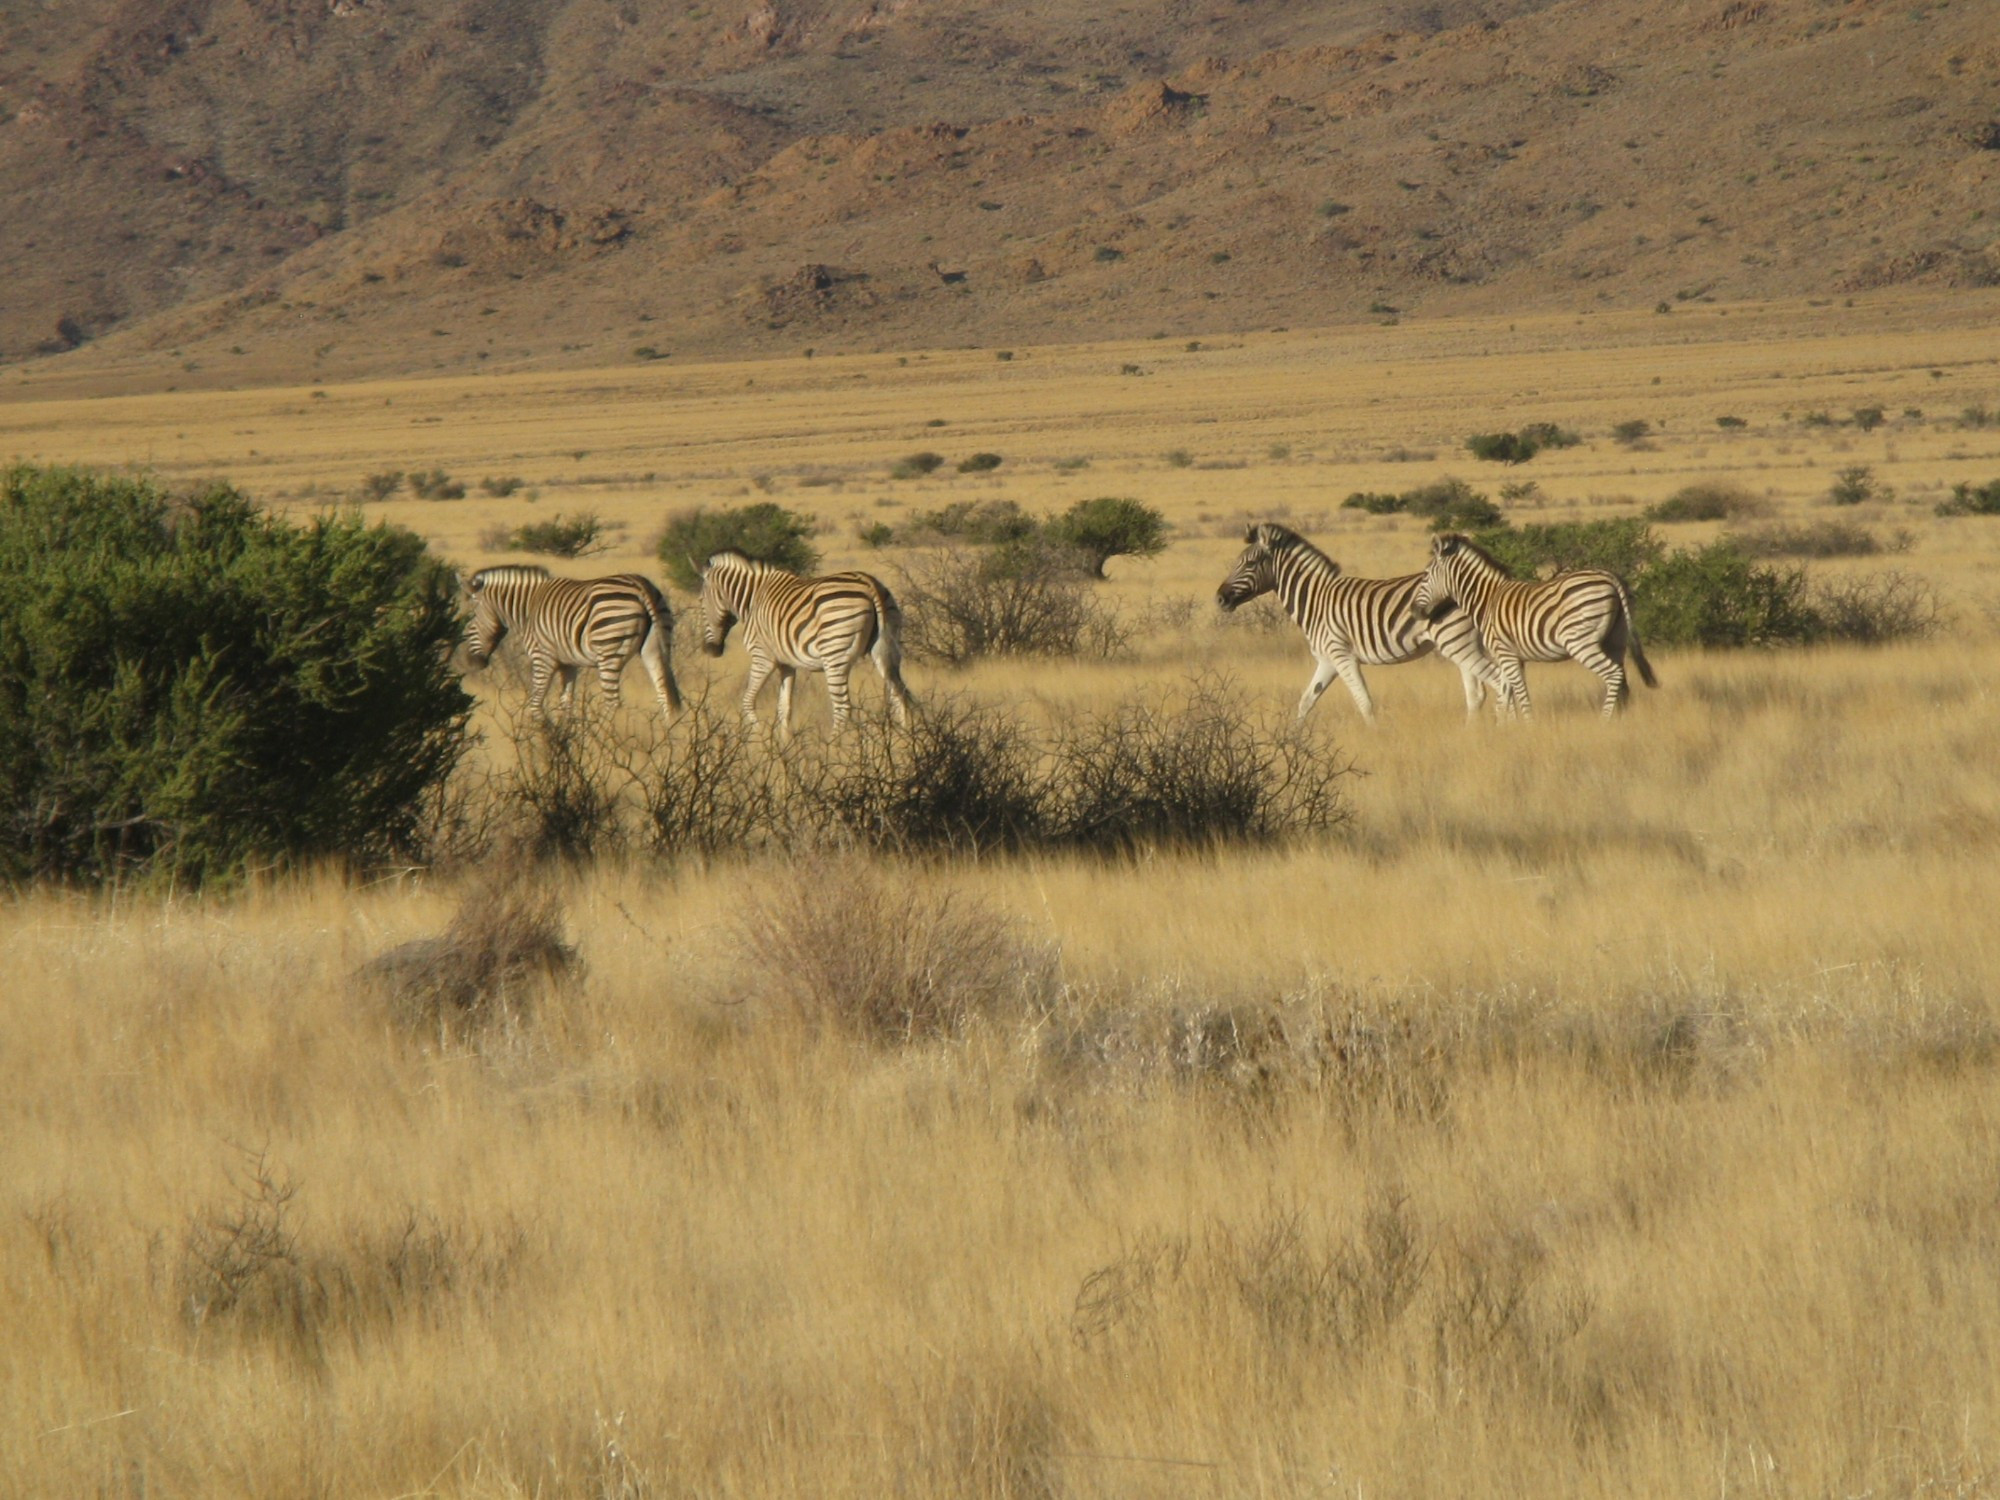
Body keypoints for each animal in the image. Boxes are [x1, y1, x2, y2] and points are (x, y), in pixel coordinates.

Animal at [464, 568, 684, 724]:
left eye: (472, 616)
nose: (472, 663)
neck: (528, 608)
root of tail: (641, 586)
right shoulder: (567, 664)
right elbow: (566, 702)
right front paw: (567, 737)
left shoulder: (543, 657)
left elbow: (535, 703)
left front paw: (546, 735)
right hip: (654, 645)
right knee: (664, 694)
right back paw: (669, 734)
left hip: (609, 650)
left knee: (613, 703)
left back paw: (604, 740)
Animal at [696, 552, 916, 740]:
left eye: (700, 602)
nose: (710, 650)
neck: (753, 599)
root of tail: (869, 583)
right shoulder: (787, 664)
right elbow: (784, 707)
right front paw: (783, 745)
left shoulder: (762, 657)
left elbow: (747, 701)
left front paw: (759, 737)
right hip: (885, 648)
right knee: (900, 694)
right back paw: (905, 740)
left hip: (834, 655)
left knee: (843, 707)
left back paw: (832, 747)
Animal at [1208, 524, 1504, 724]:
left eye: (1250, 563)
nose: (1220, 598)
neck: (1315, 599)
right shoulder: (1327, 660)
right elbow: (1306, 701)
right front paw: (1292, 741)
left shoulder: (1342, 655)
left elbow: (1364, 702)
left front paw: (1376, 739)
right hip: (1460, 644)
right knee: (1476, 694)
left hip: (1456, 641)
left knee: (1497, 681)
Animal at [1408, 532, 1656, 720]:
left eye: (1425, 575)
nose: (1413, 611)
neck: (1487, 600)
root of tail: (1610, 576)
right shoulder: (1508, 656)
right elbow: (1504, 694)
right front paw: (1503, 728)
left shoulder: (1506, 653)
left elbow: (1519, 693)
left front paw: (1527, 726)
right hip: (1616, 640)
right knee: (1623, 681)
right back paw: (1620, 720)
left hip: (1579, 641)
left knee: (1613, 674)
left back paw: (1604, 721)